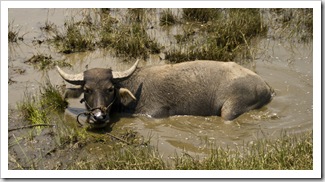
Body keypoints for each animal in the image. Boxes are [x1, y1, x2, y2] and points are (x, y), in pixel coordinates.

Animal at [56, 60, 274, 128]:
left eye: (110, 89)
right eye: (87, 90)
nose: (99, 116)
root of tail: (265, 86)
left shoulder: (156, 113)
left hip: (230, 109)